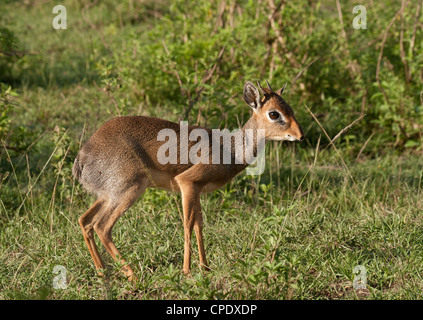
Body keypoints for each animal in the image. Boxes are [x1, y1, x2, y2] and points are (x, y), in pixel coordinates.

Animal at [73, 80, 304, 280]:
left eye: (289, 108)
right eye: (274, 113)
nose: (300, 135)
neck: (229, 148)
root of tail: (83, 157)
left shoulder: (197, 190)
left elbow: (199, 224)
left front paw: (205, 267)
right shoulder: (186, 183)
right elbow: (187, 224)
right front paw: (187, 270)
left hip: (108, 195)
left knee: (85, 221)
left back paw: (103, 272)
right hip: (129, 191)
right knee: (102, 226)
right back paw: (132, 275)